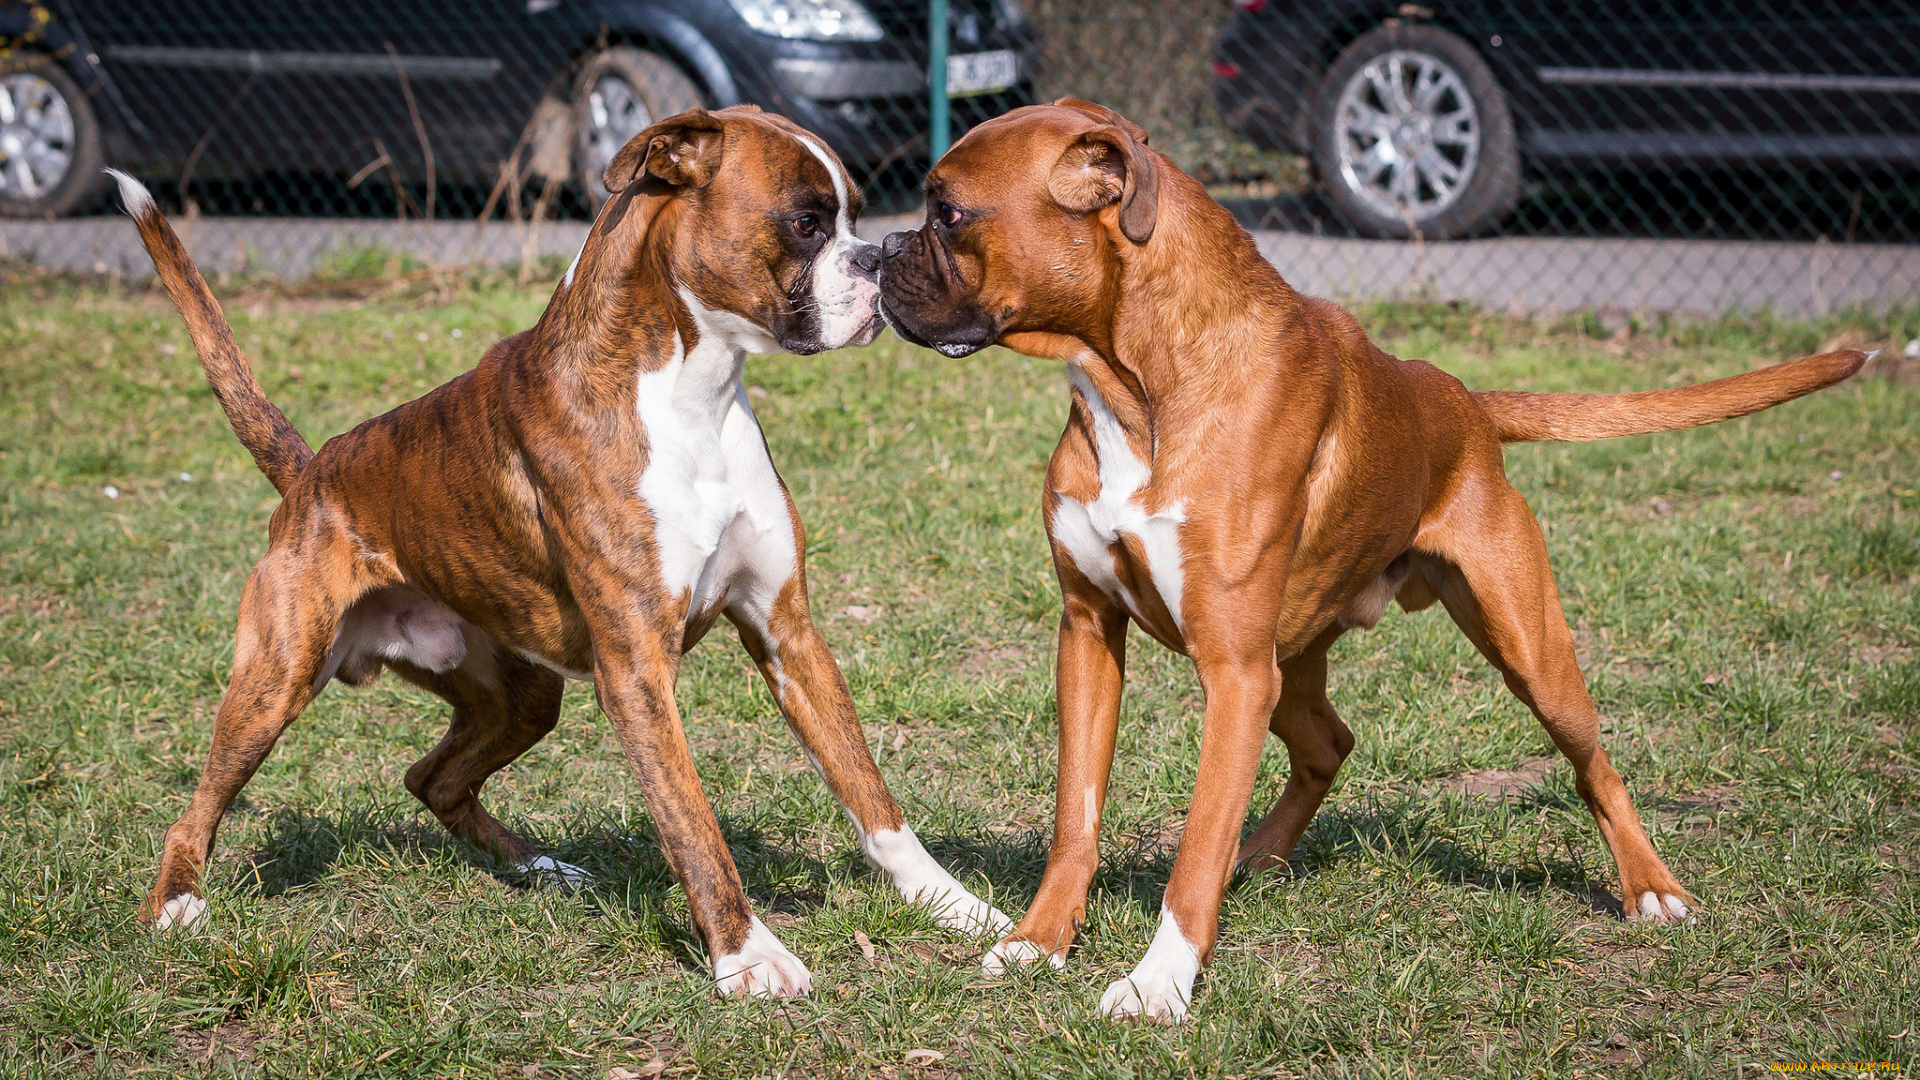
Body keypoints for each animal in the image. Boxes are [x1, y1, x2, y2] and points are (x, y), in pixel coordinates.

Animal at [110, 105, 1013, 999]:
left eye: (856, 215)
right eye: (805, 222)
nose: (879, 257)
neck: (688, 391)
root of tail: (310, 475)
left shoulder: (787, 632)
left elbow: (870, 794)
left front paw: (955, 908)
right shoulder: (638, 672)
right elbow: (693, 822)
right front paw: (747, 956)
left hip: (522, 695)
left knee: (431, 779)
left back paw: (541, 869)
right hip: (277, 679)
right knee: (195, 811)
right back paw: (178, 905)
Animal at [879, 96, 1866, 1014]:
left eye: (949, 212)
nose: (879, 251)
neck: (1137, 382)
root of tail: (1464, 402)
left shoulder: (1232, 670)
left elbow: (1192, 845)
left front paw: (1159, 984)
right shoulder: (1091, 635)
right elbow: (1074, 815)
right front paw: (1040, 941)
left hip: (1521, 650)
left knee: (1596, 766)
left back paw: (1653, 890)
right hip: (1288, 668)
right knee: (1329, 744)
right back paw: (1259, 857)